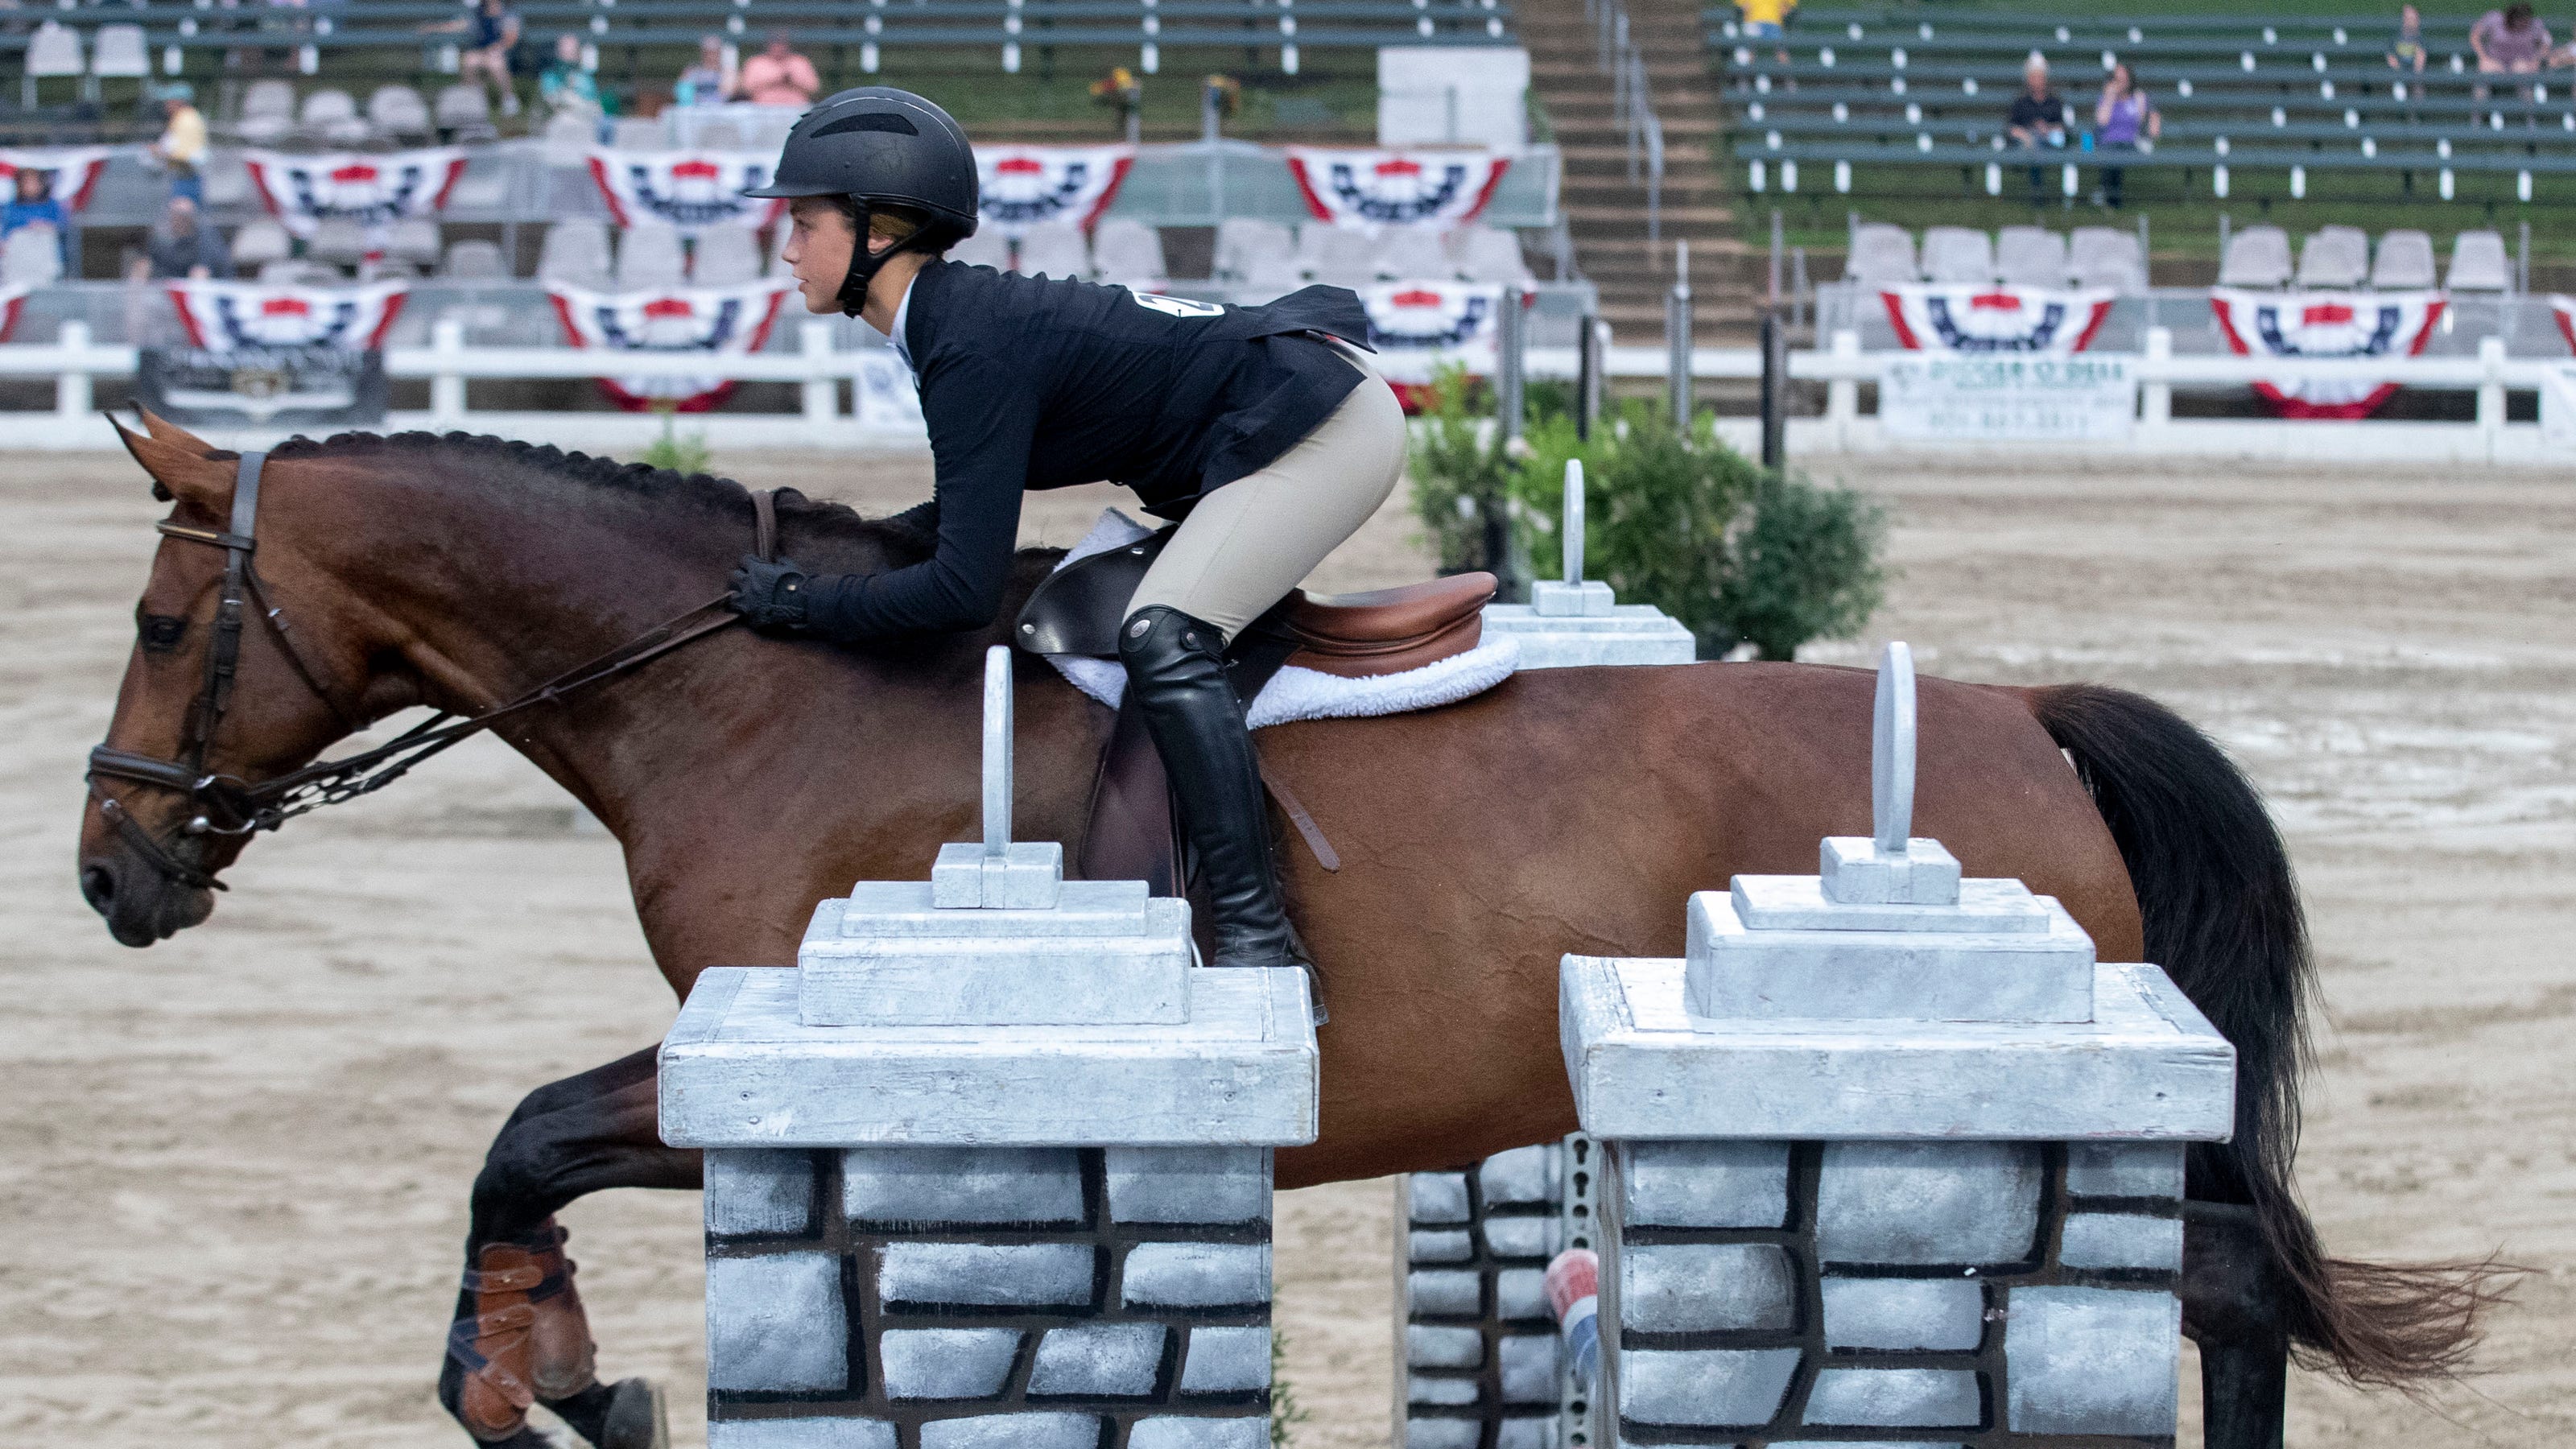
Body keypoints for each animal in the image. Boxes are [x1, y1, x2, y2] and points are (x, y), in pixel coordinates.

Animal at [80, 417, 2493, 1443]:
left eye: (166, 621)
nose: (115, 875)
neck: (747, 692)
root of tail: (2025, 716)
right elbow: (518, 1147)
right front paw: (557, 1368)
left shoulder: (775, 1055)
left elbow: (522, 1135)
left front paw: (545, 1378)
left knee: (2230, 1300)